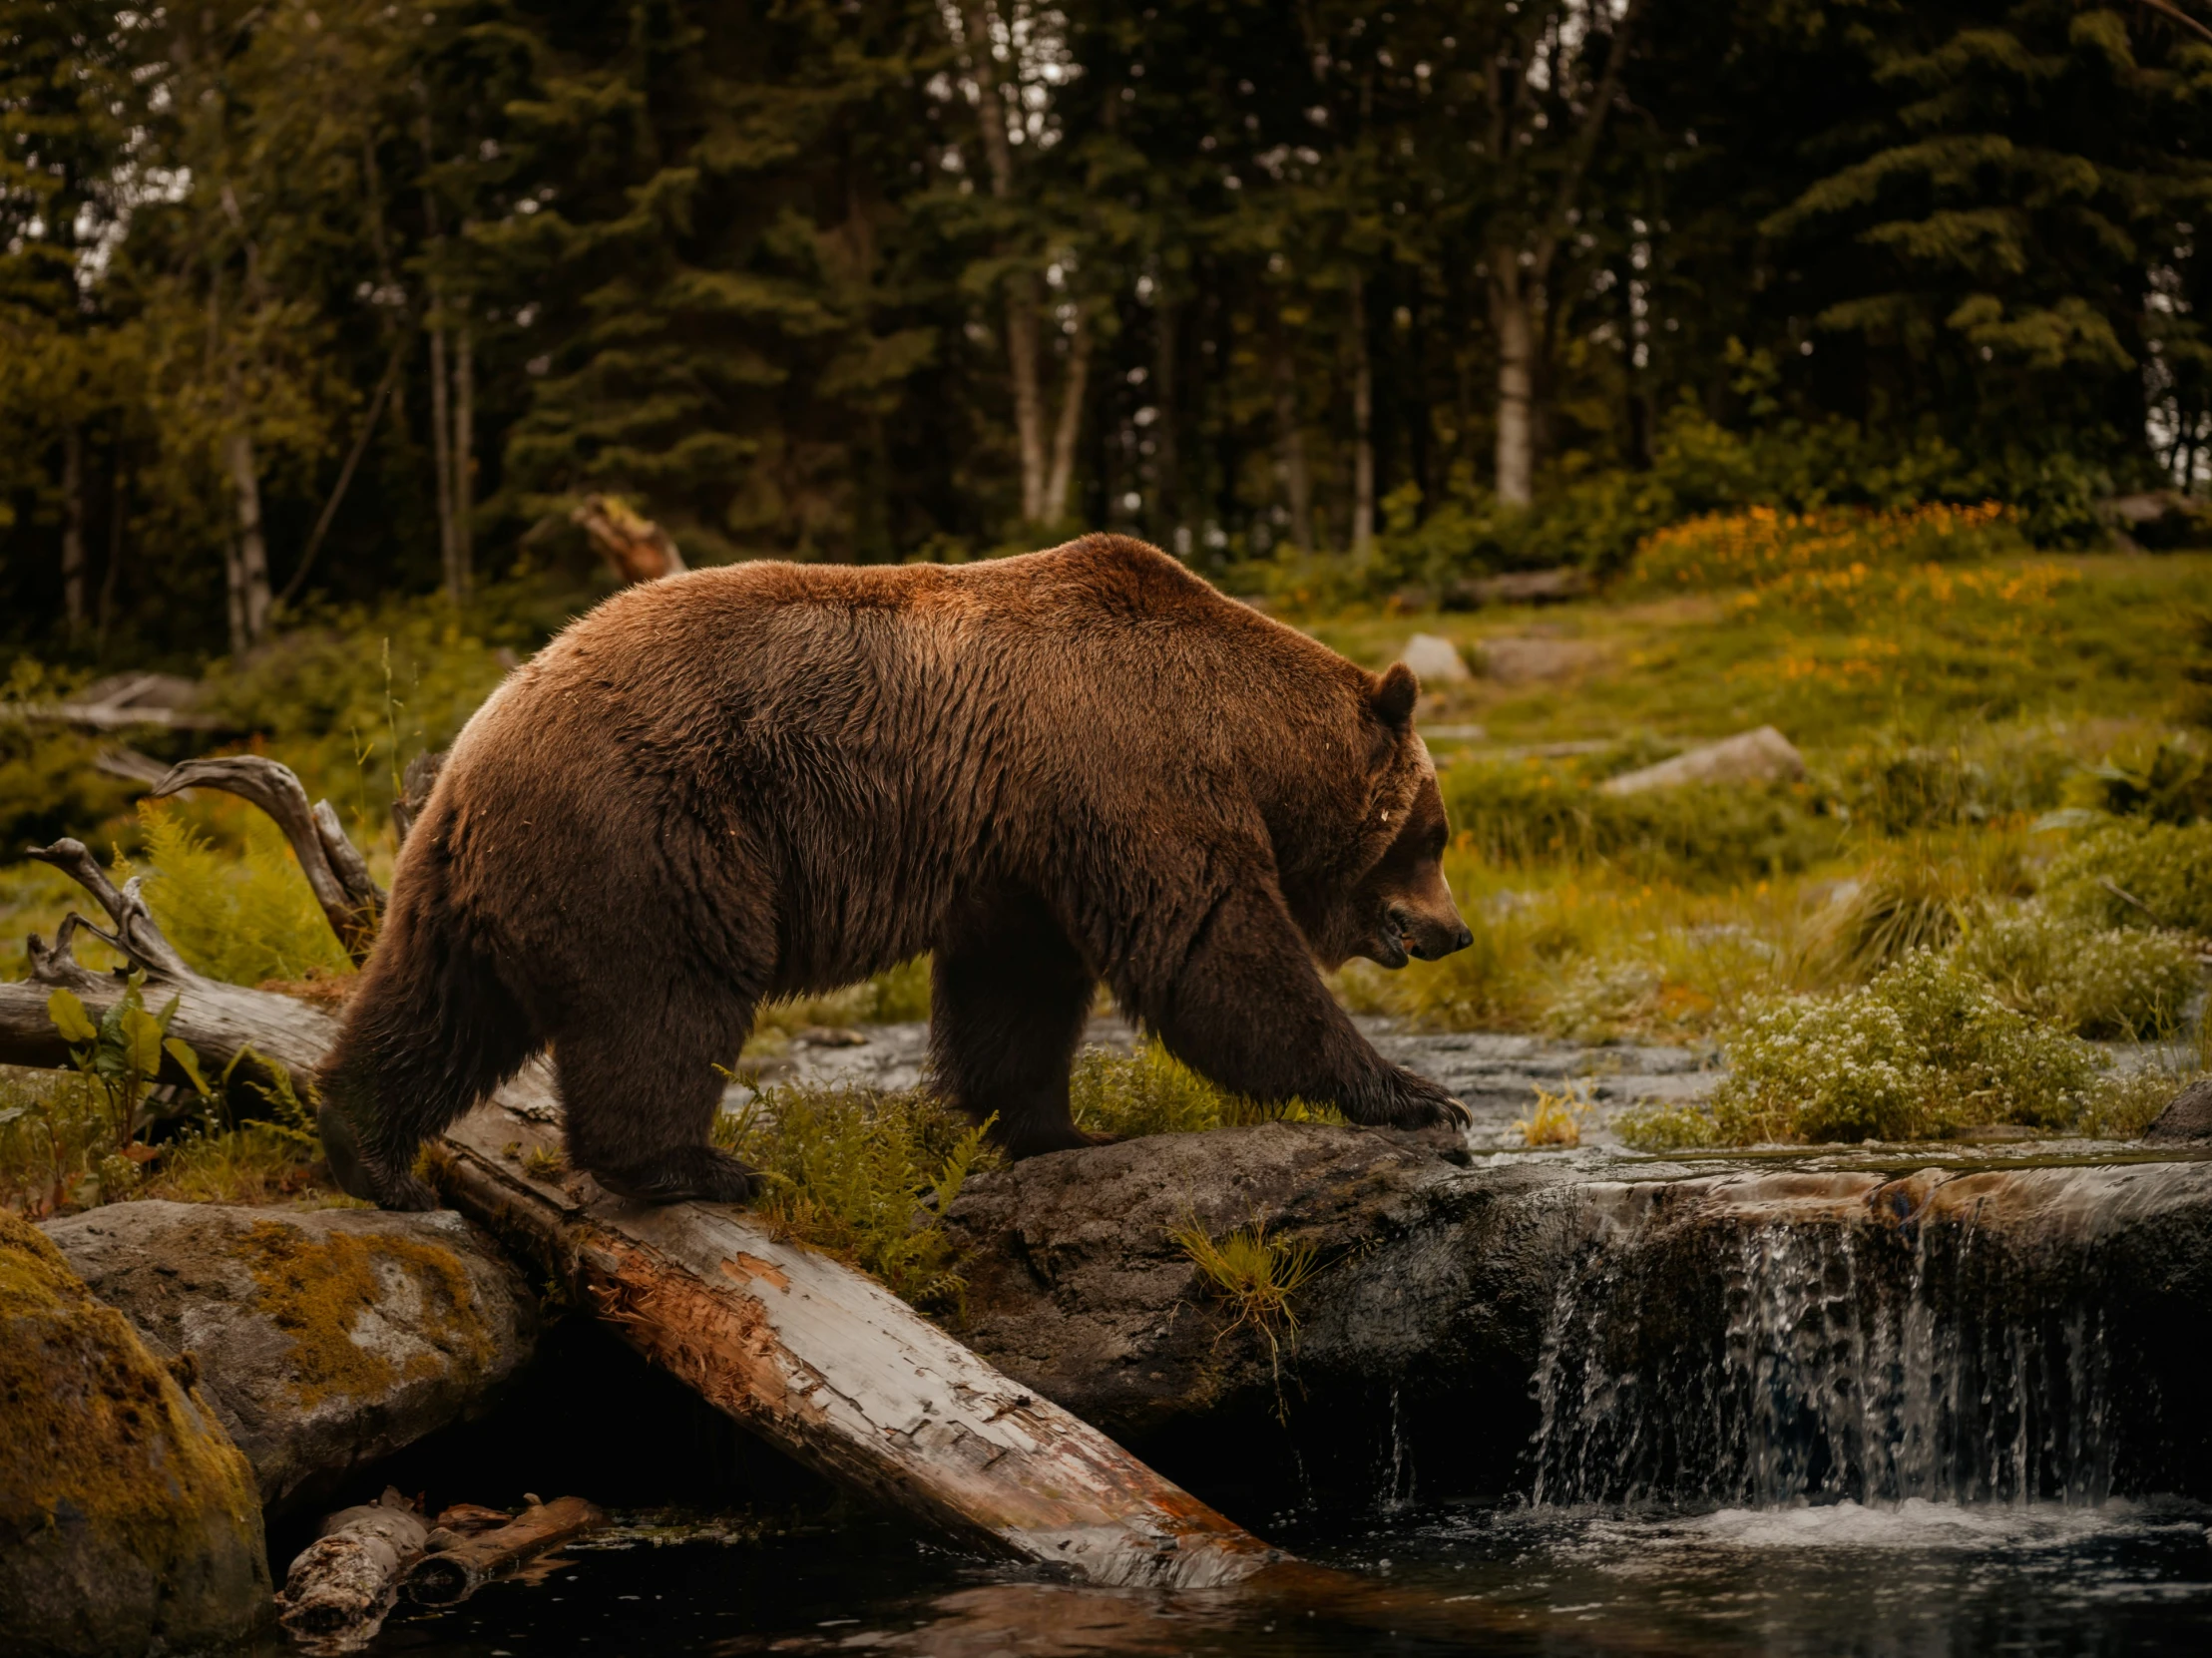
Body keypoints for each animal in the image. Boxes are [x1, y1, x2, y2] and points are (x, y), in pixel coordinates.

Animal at [316, 539, 1469, 1211]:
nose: (1453, 931)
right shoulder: (1126, 769)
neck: (1242, 735)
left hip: (476, 875)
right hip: (653, 838)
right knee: (664, 1004)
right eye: (1436, 832)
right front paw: (1415, 1094)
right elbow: (1215, 951)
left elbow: (1017, 996)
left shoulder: (1022, 845)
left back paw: (370, 1156)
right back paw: (698, 1167)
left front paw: (1051, 1127)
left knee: (433, 1007)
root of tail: (481, 739)